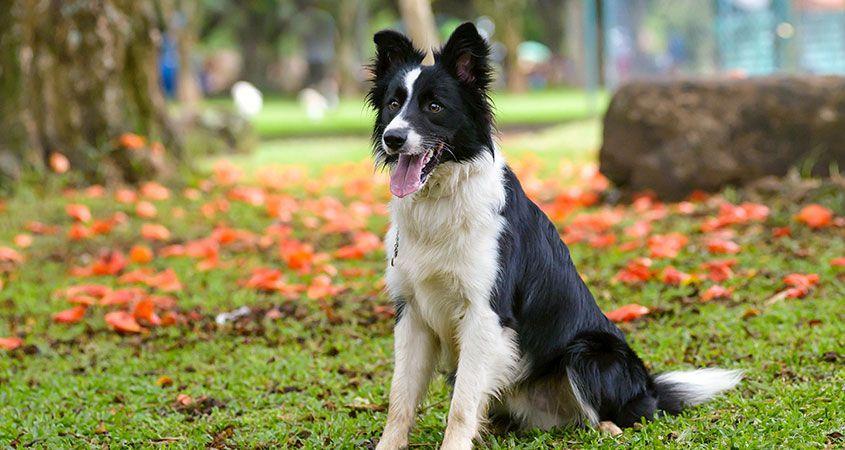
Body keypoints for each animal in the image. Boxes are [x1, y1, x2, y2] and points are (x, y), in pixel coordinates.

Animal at [368, 23, 740, 450]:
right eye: (394, 104)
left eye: (434, 107)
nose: (393, 139)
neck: (440, 202)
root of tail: (649, 388)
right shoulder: (412, 312)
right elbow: (400, 400)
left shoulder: (484, 314)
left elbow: (461, 407)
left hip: (588, 352)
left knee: (619, 415)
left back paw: (610, 427)